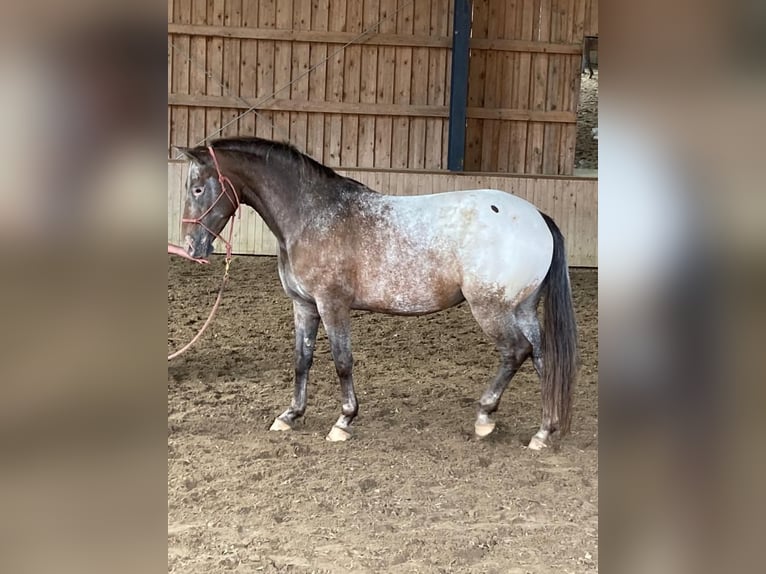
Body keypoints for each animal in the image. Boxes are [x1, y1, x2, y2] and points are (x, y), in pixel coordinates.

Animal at [177, 138, 580, 450]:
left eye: (197, 189)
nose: (192, 247)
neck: (313, 215)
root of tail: (538, 217)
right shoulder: (304, 305)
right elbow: (302, 360)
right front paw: (290, 415)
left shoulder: (332, 304)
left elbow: (342, 361)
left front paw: (343, 421)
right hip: (523, 308)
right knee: (543, 358)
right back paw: (544, 431)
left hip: (491, 309)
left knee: (516, 352)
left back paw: (485, 417)